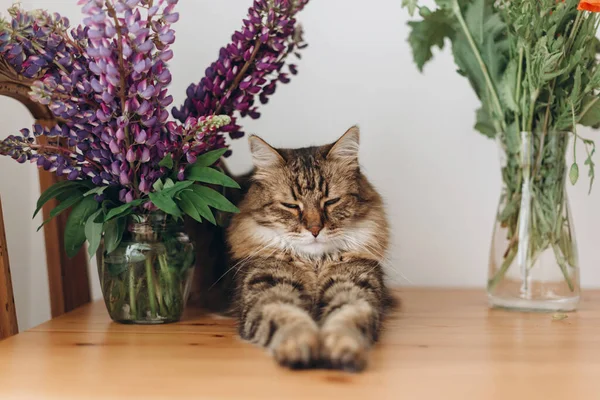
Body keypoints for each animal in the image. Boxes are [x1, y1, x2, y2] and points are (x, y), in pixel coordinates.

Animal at [227, 126, 392, 372]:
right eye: (291, 206)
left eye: (331, 201)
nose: (315, 229)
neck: (314, 263)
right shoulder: (266, 291)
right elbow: (287, 316)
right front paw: (299, 346)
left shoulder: (357, 287)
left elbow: (347, 317)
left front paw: (343, 348)